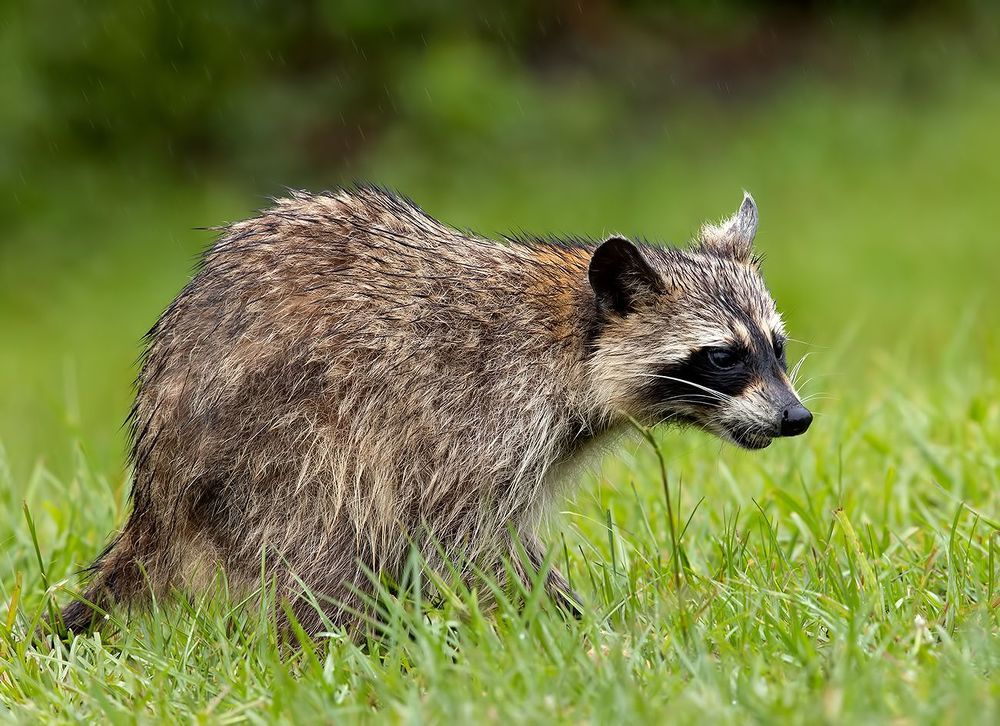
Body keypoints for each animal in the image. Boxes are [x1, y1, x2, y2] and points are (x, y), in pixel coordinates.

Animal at [57, 187, 811, 636]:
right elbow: (468, 540)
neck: (572, 329)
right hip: (272, 446)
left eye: (775, 346)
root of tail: (154, 492)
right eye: (722, 357)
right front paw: (576, 631)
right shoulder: (471, 417)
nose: (796, 418)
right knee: (326, 536)